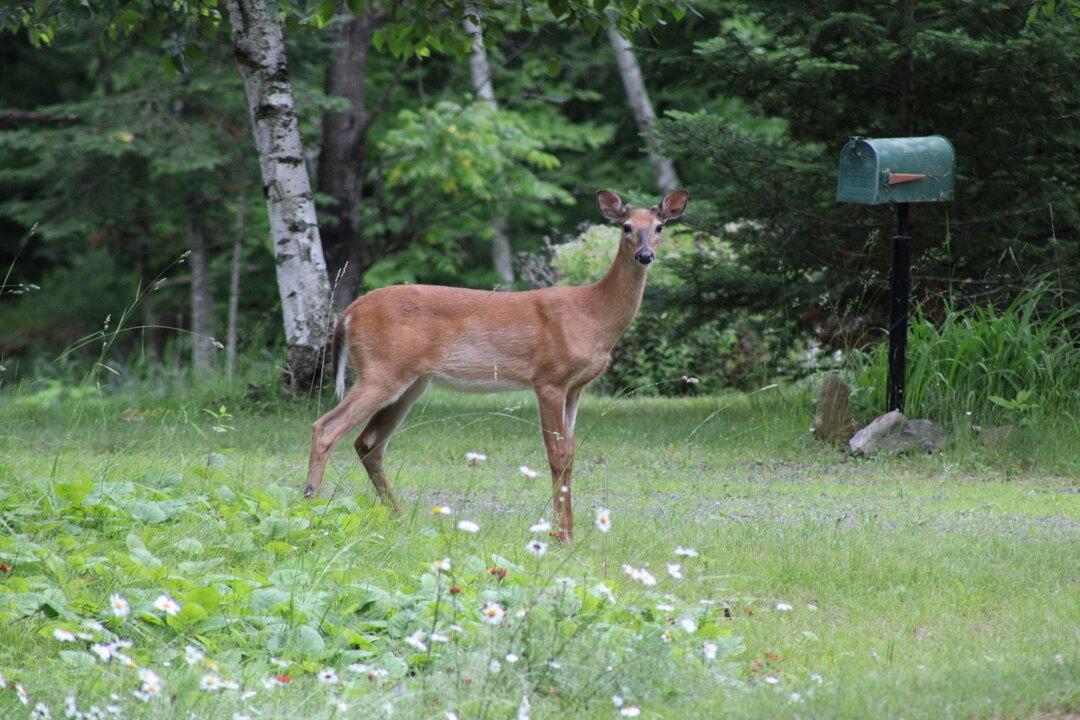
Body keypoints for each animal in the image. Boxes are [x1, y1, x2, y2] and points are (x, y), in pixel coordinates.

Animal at [303, 189, 689, 541]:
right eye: (626, 226)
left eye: (659, 227)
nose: (645, 255)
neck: (593, 315)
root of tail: (349, 312)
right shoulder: (548, 378)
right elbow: (556, 455)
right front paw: (560, 535)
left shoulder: (576, 388)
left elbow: (571, 455)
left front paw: (570, 532)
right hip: (382, 370)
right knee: (327, 427)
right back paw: (311, 511)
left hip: (411, 382)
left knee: (368, 443)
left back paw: (399, 518)